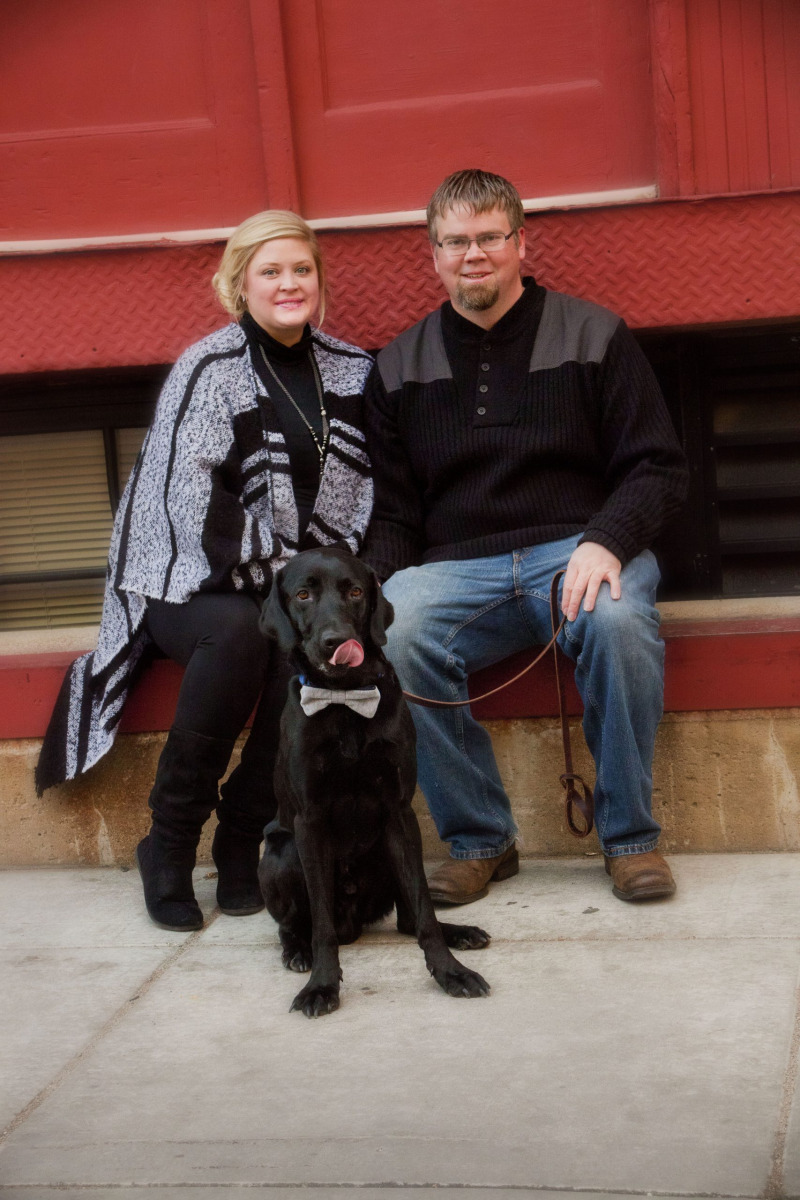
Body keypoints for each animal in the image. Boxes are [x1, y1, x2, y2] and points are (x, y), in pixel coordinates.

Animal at [258, 545, 491, 1017]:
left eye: (356, 592)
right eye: (304, 594)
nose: (334, 641)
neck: (345, 701)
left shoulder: (399, 813)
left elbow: (424, 912)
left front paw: (450, 972)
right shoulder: (309, 822)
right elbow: (322, 926)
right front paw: (321, 985)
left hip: (387, 850)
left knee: (409, 917)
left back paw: (460, 932)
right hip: (281, 853)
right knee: (295, 925)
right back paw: (298, 952)